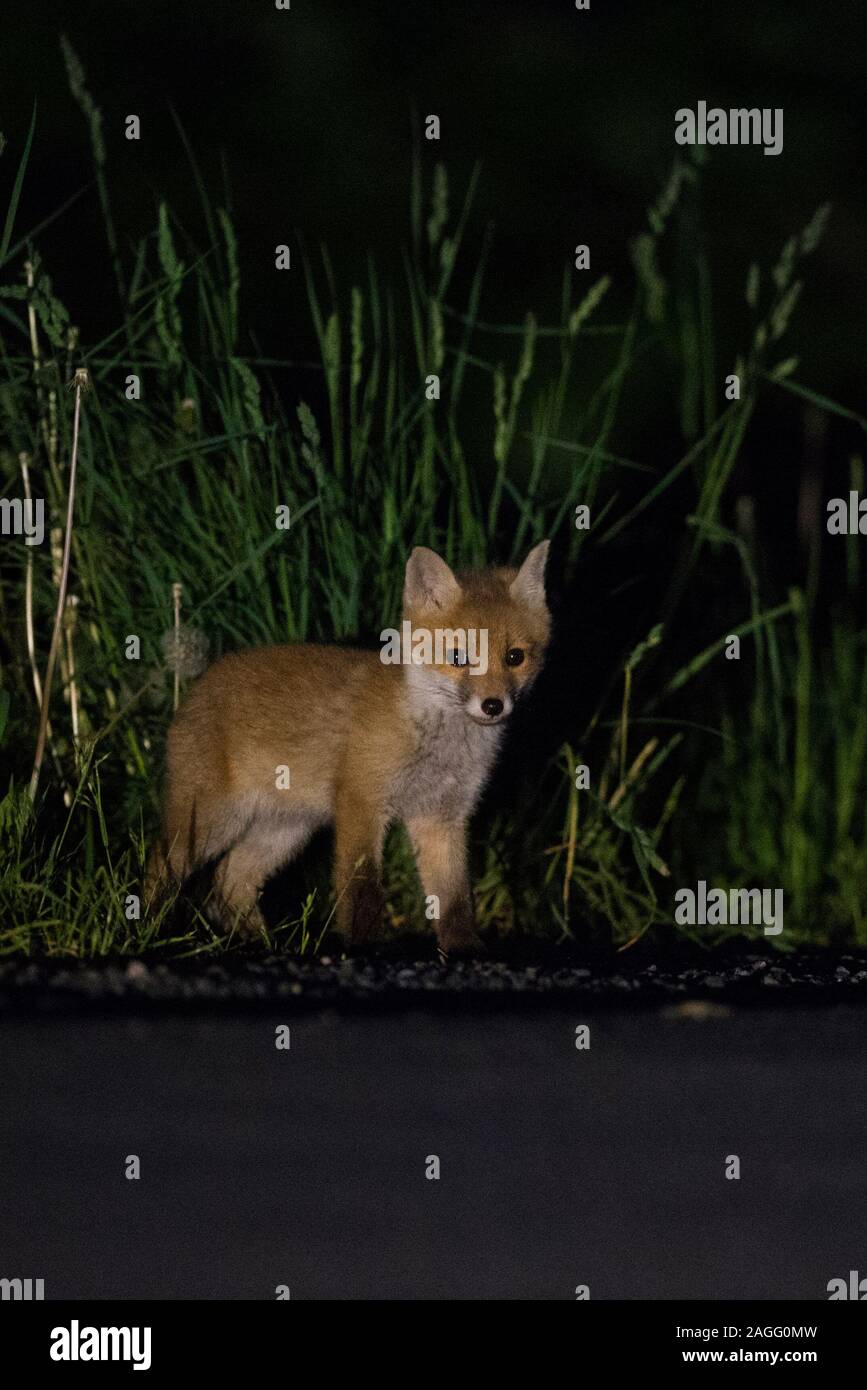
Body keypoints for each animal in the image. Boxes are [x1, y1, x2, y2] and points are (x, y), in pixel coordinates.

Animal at [143, 539, 547, 956]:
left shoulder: (442, 817)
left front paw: (464, 949)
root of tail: (199, 686)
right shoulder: (362, 805)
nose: (493, 705)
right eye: (457, 657)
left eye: (514, 657)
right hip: (212, 822)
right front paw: (365, 949)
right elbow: (362, 894)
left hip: (285, 831)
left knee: (227, 882)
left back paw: (265, 944)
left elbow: (453, 900)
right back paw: (149, 930)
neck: (438, 746)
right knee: (159, 866)